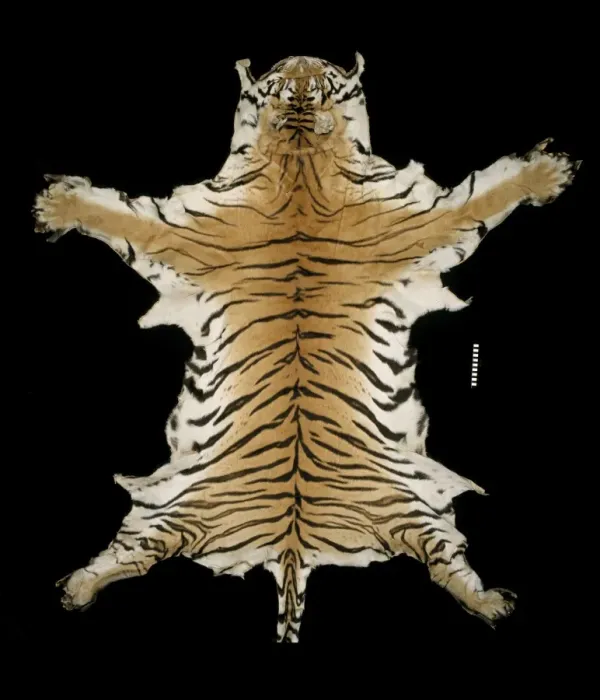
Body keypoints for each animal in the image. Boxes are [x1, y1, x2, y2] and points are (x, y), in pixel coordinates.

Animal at [34, 53, 580, 643]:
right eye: (283, 80)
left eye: (323, 81)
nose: (302, 56)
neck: (299, 165)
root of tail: (292, 548)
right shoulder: (181, 233)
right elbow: (117, 215)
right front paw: (57, 205)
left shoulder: (424, 221)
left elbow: (486, 195)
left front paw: (545, 173)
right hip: (171, 514)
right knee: (130, 555)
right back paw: (77, 587)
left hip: (410, 514)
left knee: (445, 563)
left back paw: (490, 603)